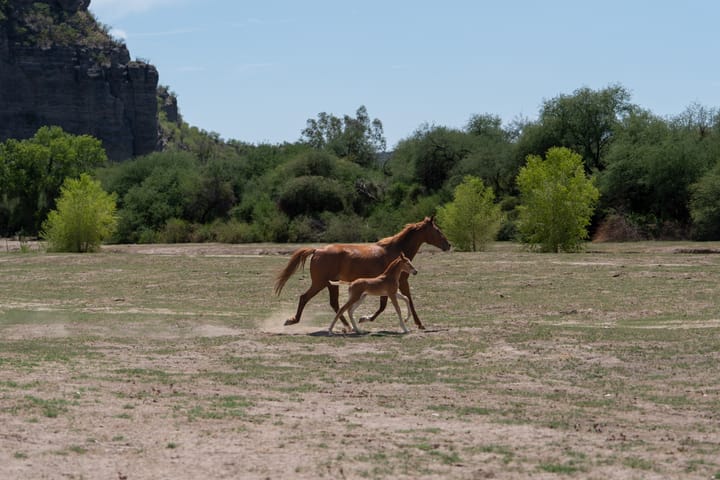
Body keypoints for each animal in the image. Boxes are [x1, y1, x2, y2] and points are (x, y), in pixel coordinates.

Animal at [276, 216, 450, 328]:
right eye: (437, 230)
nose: (448, 245)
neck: (395, 250)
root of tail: (317, 250)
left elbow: (386, 304)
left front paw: (364, 318)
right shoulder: (401, 282)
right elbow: (401, 302)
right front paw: (419, 324)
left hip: (331, 284)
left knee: (335, 304)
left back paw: (347, 326)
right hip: (320, 283)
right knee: (305, 298)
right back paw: (293, 320)